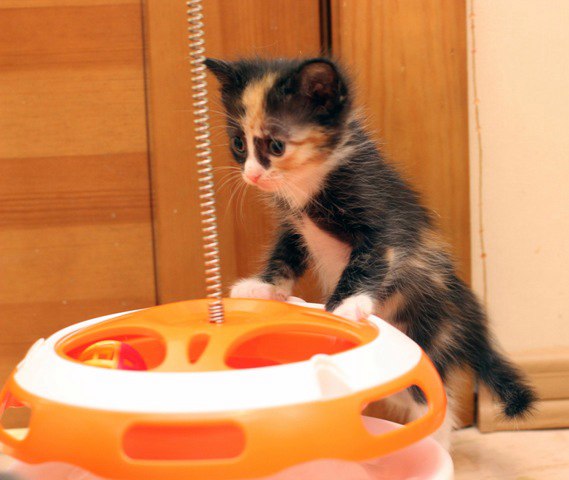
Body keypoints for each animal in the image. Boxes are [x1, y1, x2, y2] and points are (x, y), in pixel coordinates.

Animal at [205, 56, 536, 447]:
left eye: (275, 146)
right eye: (238, 144)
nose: (253, 175)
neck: (310, 179)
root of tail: (470, 319)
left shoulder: (380, 220)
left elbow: (367, 262)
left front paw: (345, 306)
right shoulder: (296, 225)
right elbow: (285, 253)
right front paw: (264, 286)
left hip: (428, 336)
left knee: (434, 402)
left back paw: (431, 446)